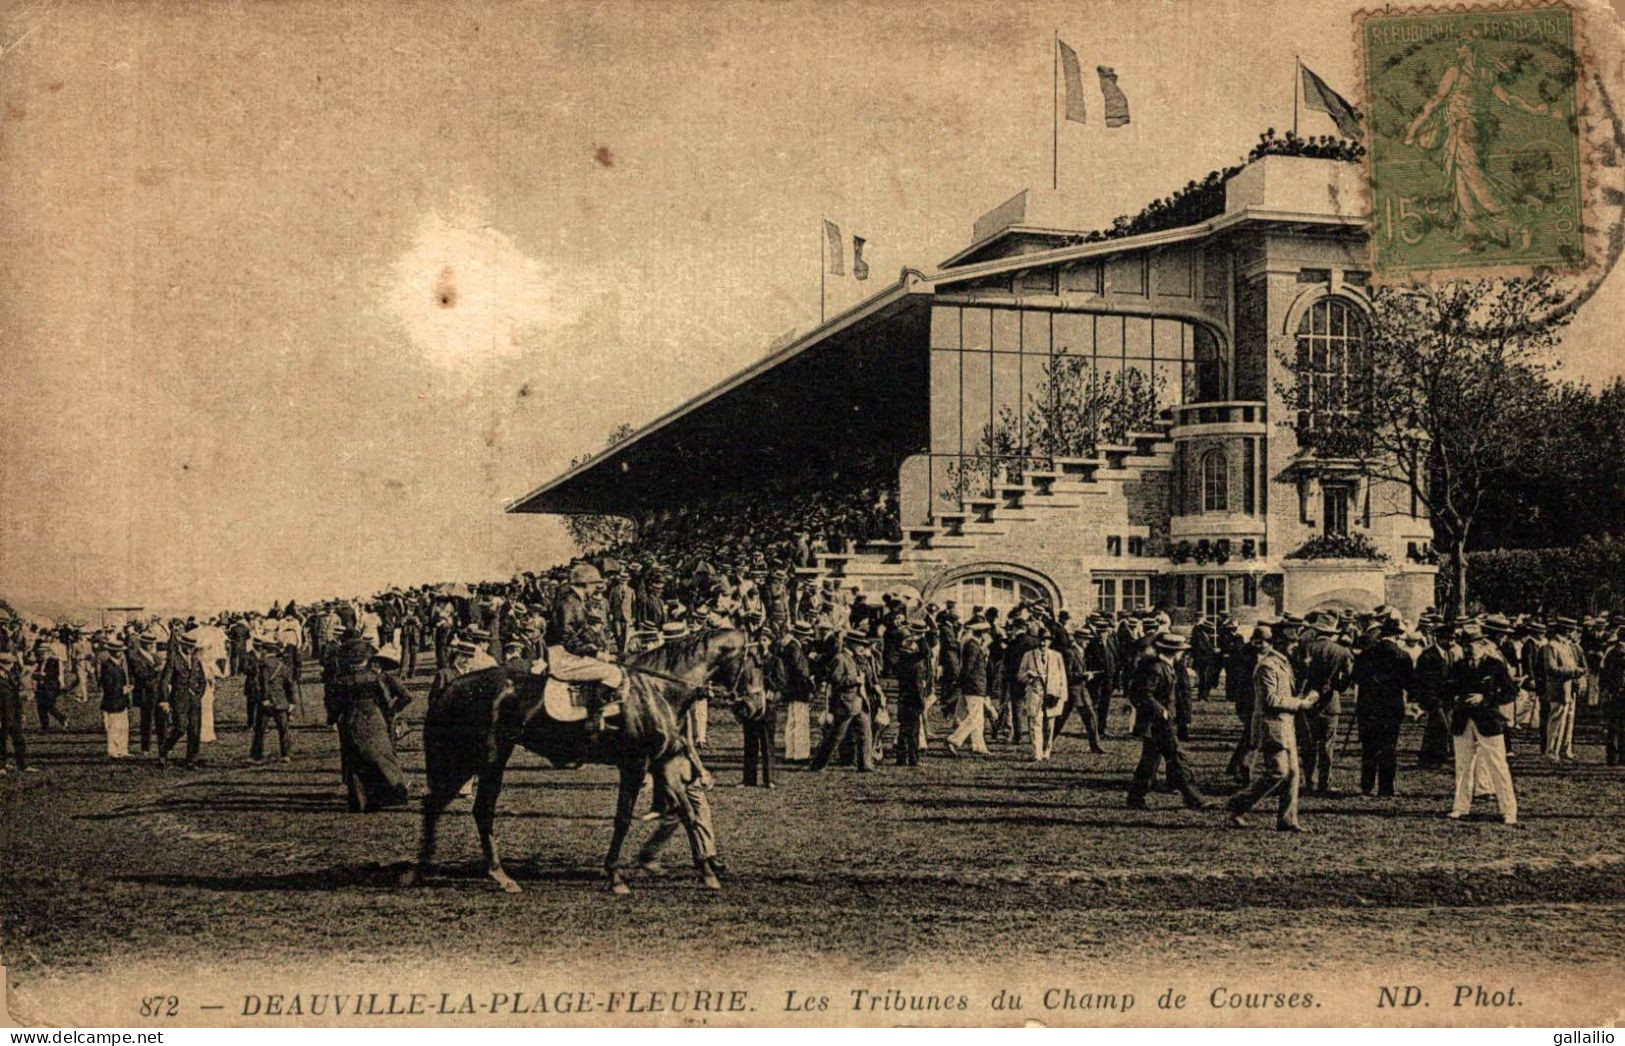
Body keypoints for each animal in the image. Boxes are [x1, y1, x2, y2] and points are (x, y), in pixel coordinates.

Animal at [403, 623, 763, 896]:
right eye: (757, 662)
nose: (755, 707)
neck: (656, 687)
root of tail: (453, 686)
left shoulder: (664, 763)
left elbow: (688, 812)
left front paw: (707, 872)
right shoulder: (635, 763)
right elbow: (623, 818)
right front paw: (615, 876)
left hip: (472, 760)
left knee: (440, 804)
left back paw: (426, 869)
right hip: (484, 759)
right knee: (474, 809)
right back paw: (495, 875)